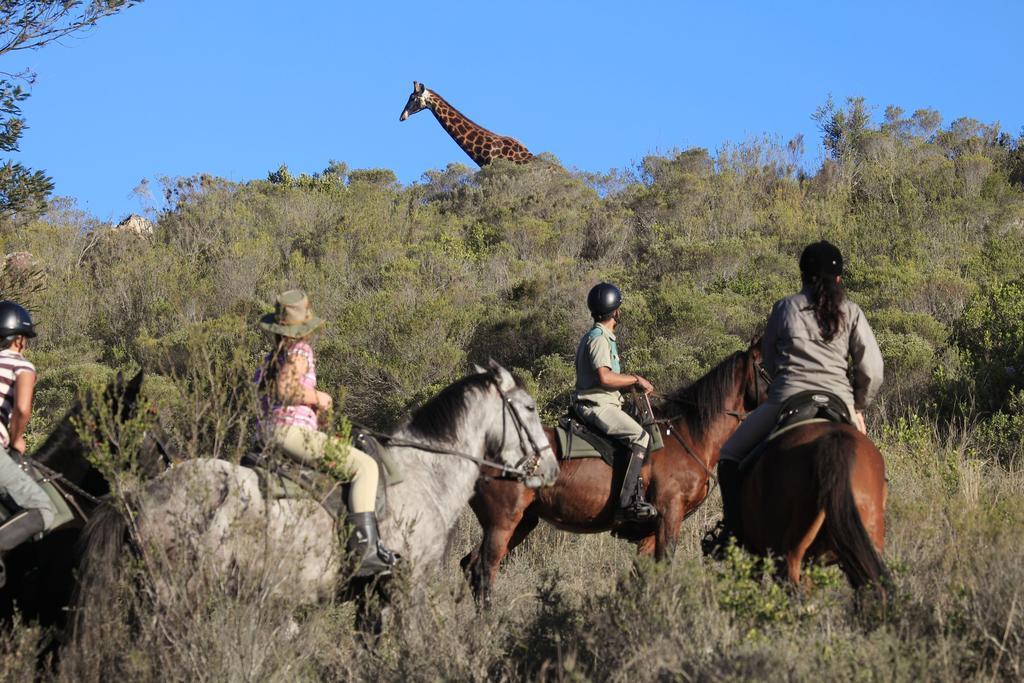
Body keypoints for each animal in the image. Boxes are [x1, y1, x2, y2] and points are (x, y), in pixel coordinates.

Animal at [464, 339, 770, 602]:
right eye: (768, 367)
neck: (689, 435)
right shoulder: (670, 514)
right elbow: (665, 567)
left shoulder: (650, 529)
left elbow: (642, 575)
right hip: (503, 523)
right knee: (484, 570)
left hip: (522, 522)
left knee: (470, 564)